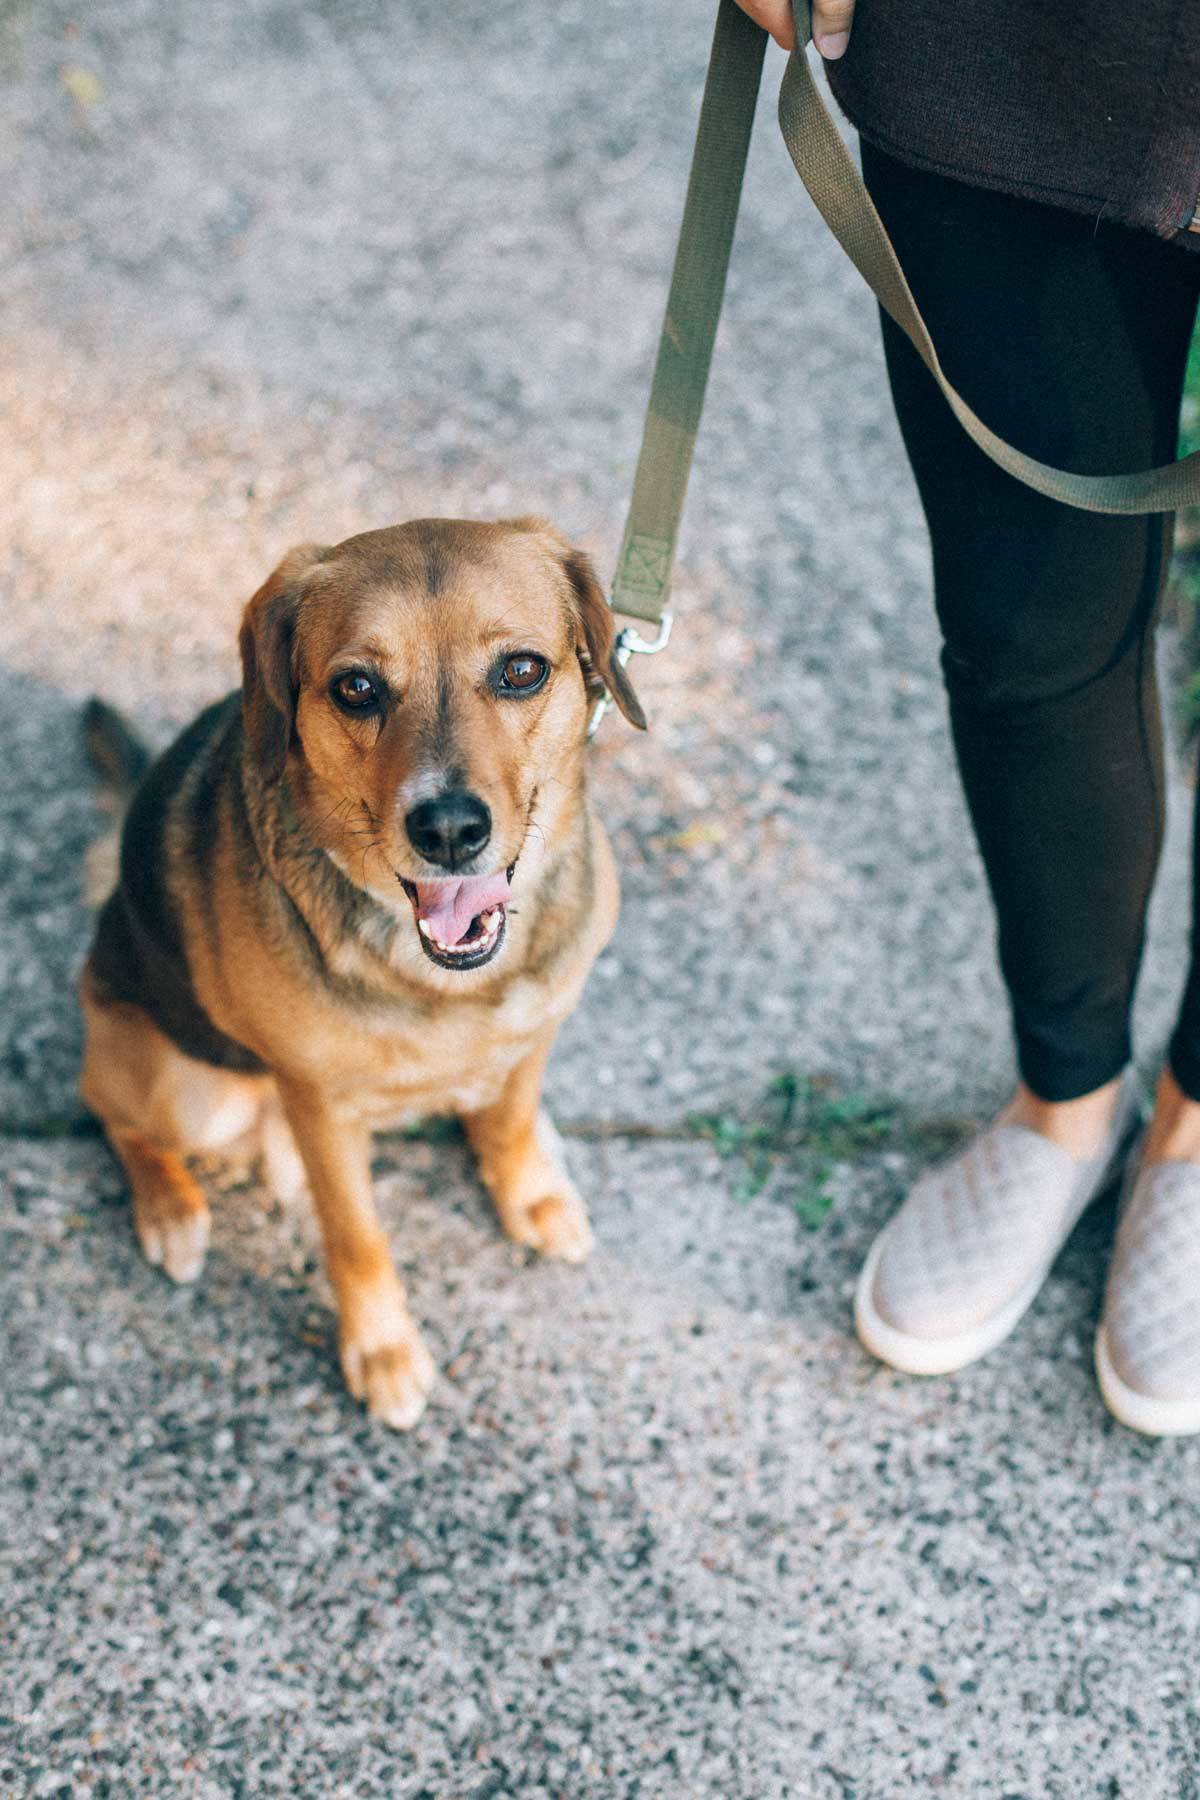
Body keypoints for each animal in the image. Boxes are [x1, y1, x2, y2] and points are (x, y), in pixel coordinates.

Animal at [78, 514, 644, 1425]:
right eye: (356, 688)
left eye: (521, 671)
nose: (448, 829)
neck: (449, 980)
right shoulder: (321, 1105)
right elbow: (357, 1237)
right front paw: (382, 1351)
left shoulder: (536, 1031)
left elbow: (512, 1120)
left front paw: (527, 1190)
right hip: (184, 1089)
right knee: (112, 1115)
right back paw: (170, 1210)